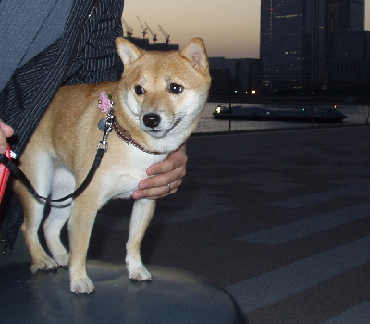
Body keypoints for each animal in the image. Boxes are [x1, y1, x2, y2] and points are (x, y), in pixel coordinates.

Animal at [13, 36, 211, 292]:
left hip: (67, 190)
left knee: (49, 227)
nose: (150, 119)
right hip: (39, 183)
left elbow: (134, 241)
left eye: (175, 88)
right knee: (29, 228)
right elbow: (82, 247)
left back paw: (61, 257)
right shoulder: (86, 203)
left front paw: (136, 269)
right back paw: (43, 259)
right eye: (139, 89)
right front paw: (79, 279)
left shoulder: (145, 199)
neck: (134, 143)